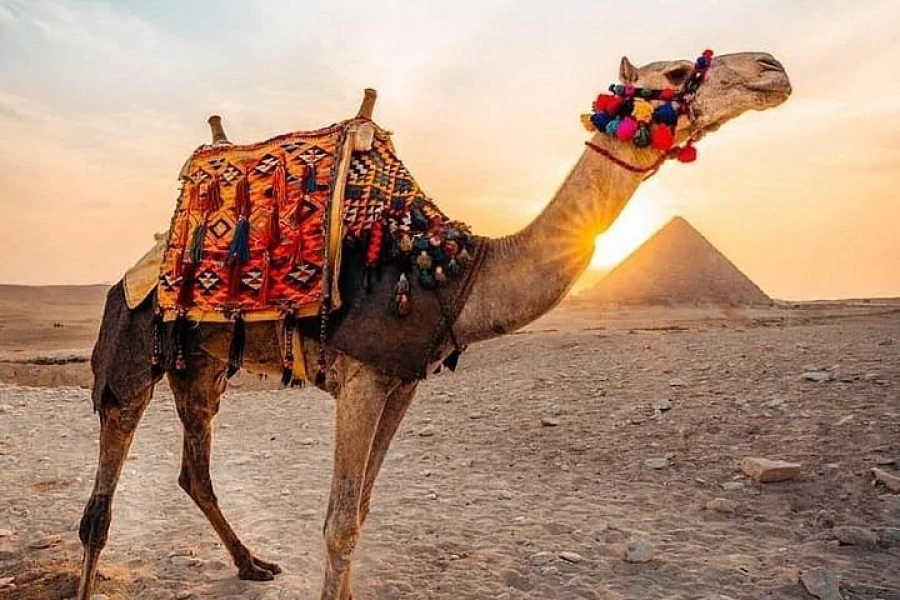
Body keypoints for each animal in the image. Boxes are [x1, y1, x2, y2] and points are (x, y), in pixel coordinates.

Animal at [77, 50, 791, 599]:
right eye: (676, 72)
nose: (772, 68)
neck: (457, 270)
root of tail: (137, 266)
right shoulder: (363, 376)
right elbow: (339, 521)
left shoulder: (402, 380)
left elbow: (362, 509)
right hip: (132, 341)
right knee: (102, 497)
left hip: (199, 365)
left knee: (194, 469)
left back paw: (253, 564)